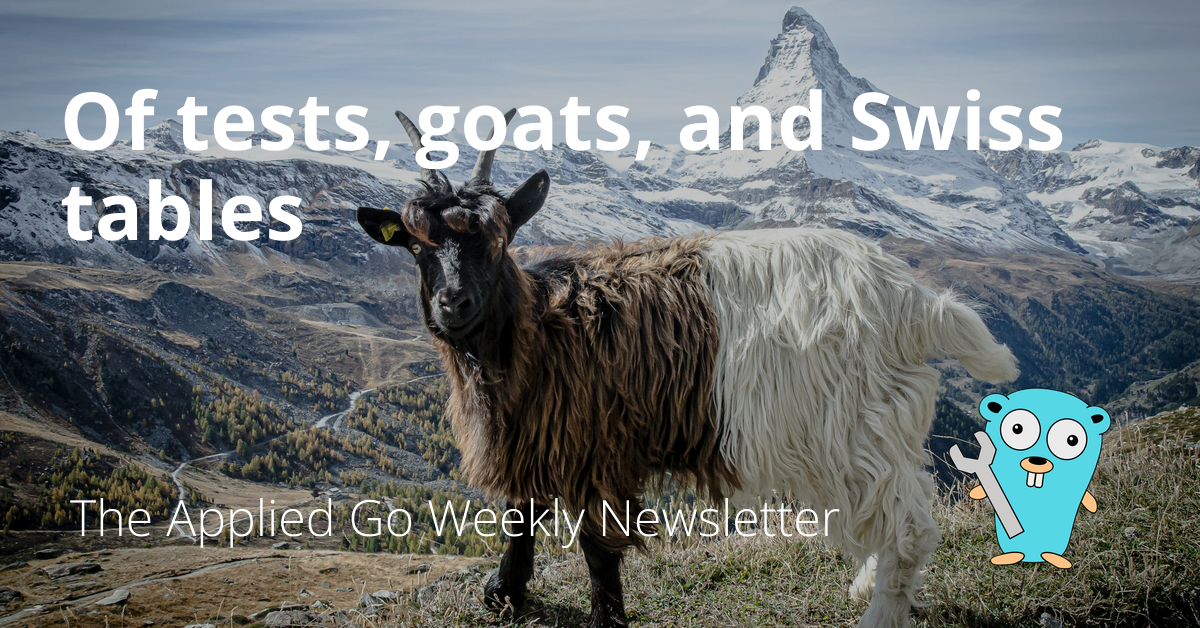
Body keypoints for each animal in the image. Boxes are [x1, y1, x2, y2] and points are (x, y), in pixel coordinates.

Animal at [355, 109, 1018, 628]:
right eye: (415, 245)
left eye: (498, 239)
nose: (454, 304)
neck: (537, 326)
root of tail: (910, 297)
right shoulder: (541, 433)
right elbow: (523, 513)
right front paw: (505, 594)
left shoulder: (595, 444)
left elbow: (597, 546)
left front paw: (606, 618)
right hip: (876, 426)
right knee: (902, 503)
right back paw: (867, 584)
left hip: (851, 423)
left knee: (910, 526)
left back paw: (877, 615)